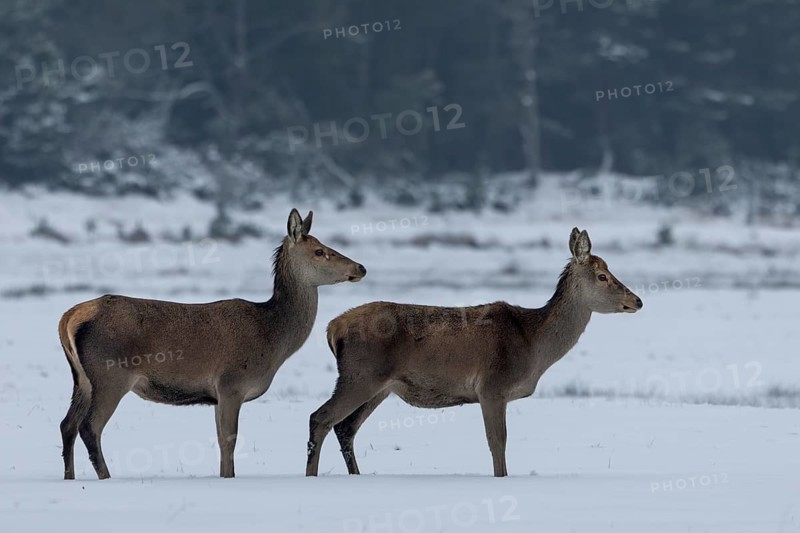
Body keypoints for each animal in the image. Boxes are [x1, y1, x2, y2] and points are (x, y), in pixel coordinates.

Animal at [58, 209, 366, 480]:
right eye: (320, 251)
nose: (360, 267)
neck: (272, 338)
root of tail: (69, 318)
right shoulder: (232, 383)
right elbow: (229, 440)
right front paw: (228, 477)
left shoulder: (217, 394)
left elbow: (220, 438)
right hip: (110, 375)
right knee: (90, 427)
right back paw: (106, 477)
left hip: (82, 380)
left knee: (67, 424)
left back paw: (69, 477)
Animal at [305, 227, 642, 477]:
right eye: (602, 276)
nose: (636, 300)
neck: (533, 345)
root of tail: (333, 328)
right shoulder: (493, 385)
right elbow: (498, 442)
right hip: (360, 375)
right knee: (320, 418)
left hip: (379, 386)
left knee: (345, 428)